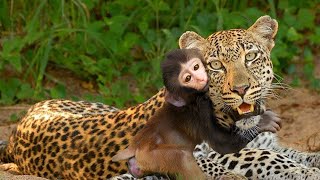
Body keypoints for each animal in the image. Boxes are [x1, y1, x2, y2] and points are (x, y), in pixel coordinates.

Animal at [0, 15, 318, 180]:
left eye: (250, 57)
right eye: (216, 65)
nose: (240, 89)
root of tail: (17, 129)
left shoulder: (264, 142)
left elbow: (290, 153)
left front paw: (310, 162)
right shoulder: (210, 152)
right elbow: (268, 158)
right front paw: (304, 173)